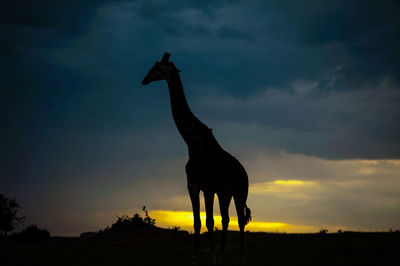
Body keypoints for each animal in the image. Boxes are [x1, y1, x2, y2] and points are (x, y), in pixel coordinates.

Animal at [142, 53, 252, 264]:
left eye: (157, 67)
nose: (144, 79)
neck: (192, 144)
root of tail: (245, 172)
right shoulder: (192, 185)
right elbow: (197, 222)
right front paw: (196, 257)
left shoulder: (207, 187)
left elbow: (209, 221)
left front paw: (212, 257)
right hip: (225, 193)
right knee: (226, 219)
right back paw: (224, 254)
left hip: (240, 191)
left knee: (241, 219)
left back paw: (242, 256)